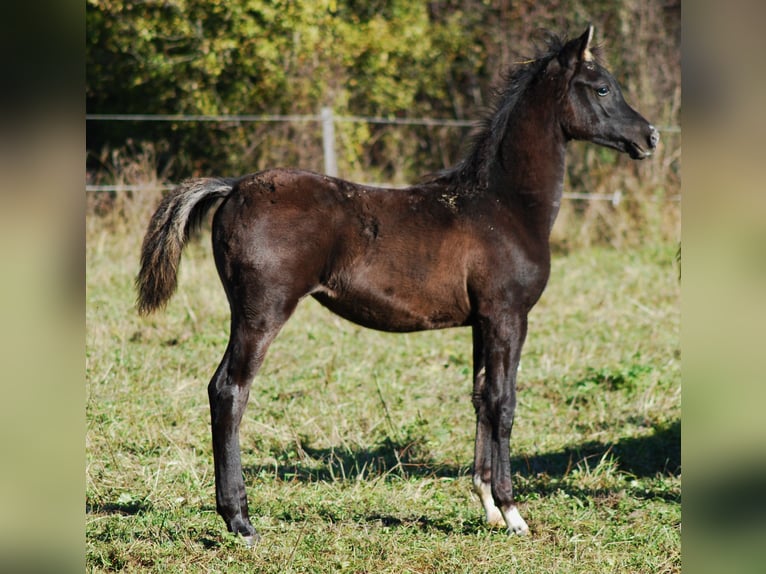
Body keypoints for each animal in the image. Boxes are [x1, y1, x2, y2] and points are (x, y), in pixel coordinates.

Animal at [135, 24, 656, 548]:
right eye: (602, 87)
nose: (648, 136)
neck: (504, 205)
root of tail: (234, 186)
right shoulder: (508, 316)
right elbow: (504, 403)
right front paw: (512, 512)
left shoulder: (481, 322)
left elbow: (480, 399)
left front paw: (487, 505)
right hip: (262, 312)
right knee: (230, 389)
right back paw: (241, 522)